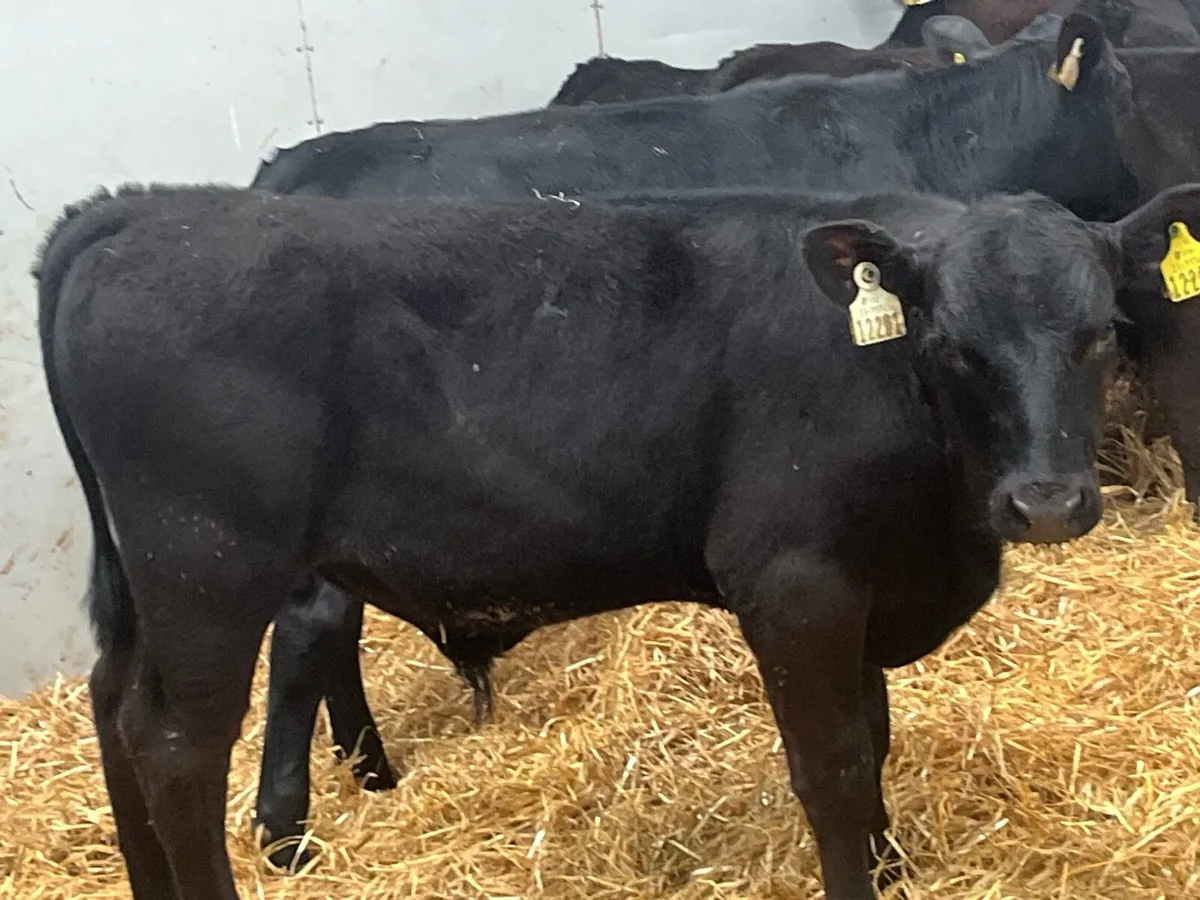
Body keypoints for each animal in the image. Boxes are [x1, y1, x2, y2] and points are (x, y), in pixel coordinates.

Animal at [40, 179, 1200, 900]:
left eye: (1103, 333)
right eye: (953, 347)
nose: (1045, 503)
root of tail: (138, 210)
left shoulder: (860, 587)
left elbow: (873, 745)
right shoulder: (795, 583)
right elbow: (831, 766)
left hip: (150, 588)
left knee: (113, 708)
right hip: (208, 571)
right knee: (176, 746)